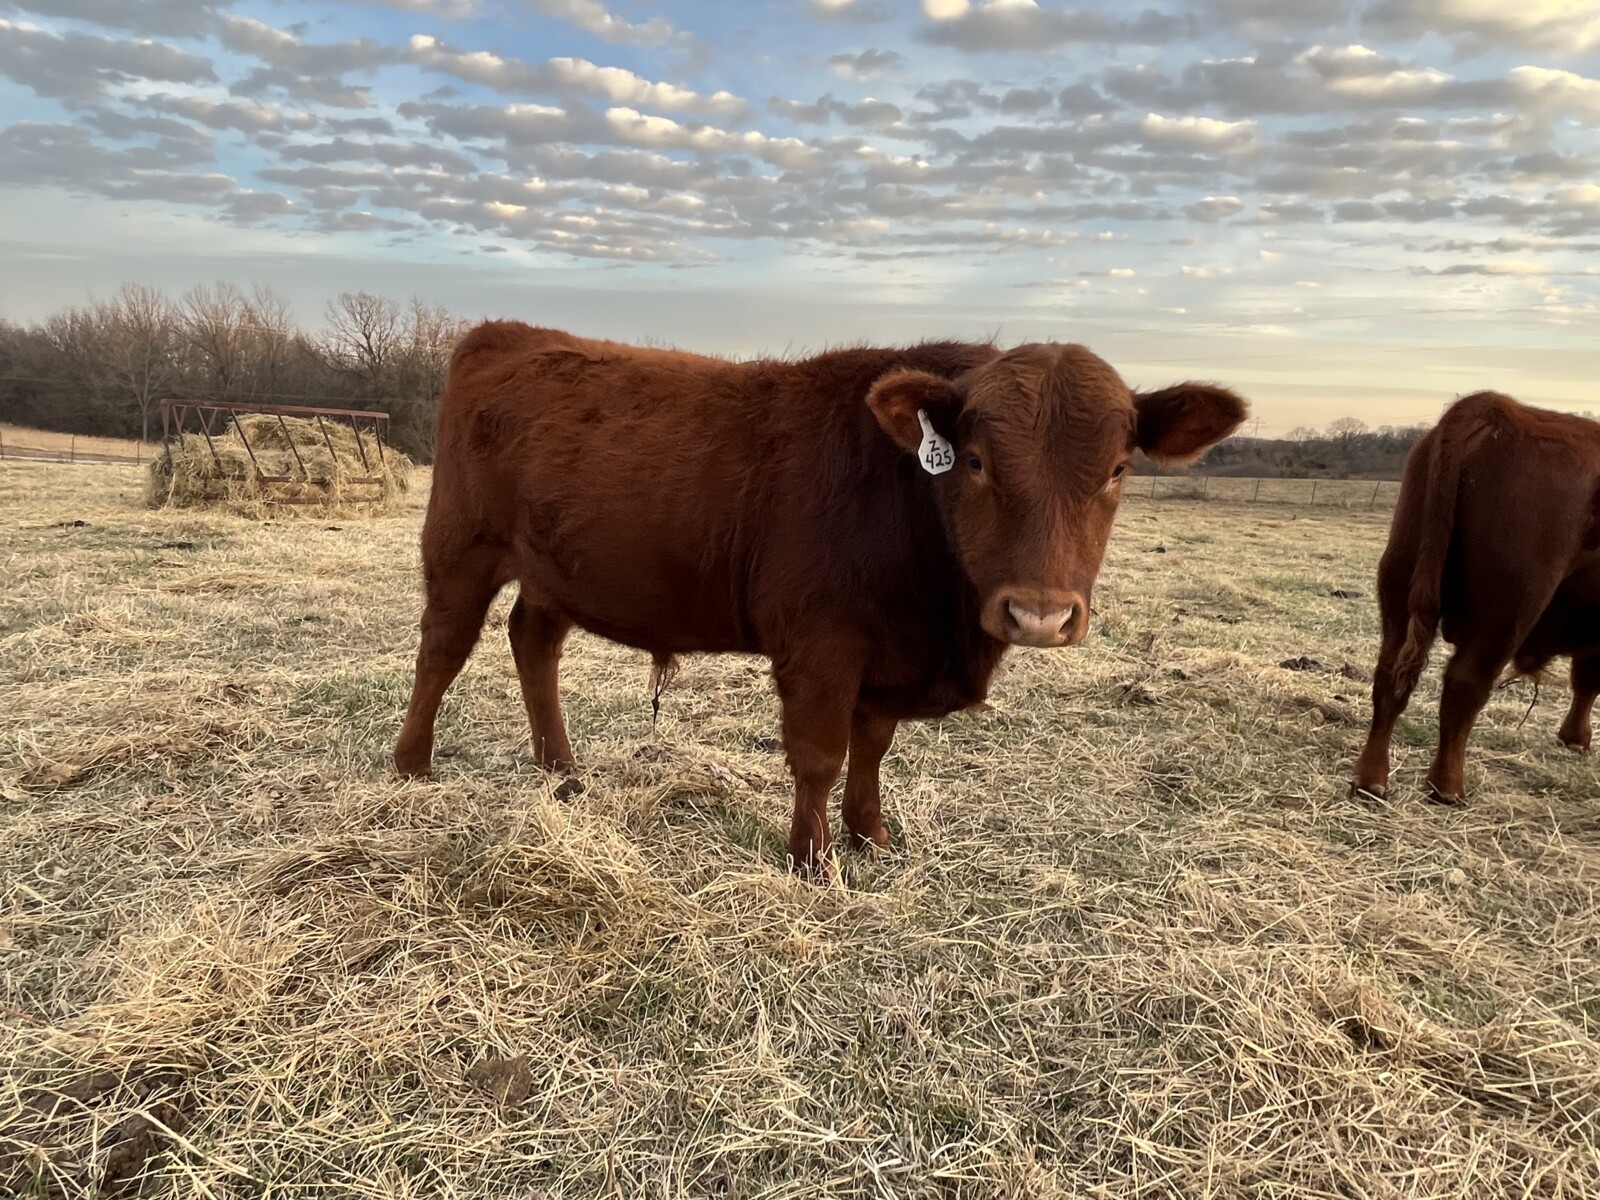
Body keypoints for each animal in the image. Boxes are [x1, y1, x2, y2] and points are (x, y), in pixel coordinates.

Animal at [395, 321, 1247, 872]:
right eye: (974, 461)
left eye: (1117, 470)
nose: (1039, 613)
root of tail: (506, 331)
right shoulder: (818, 644)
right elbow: (818, 754)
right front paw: (812, 858)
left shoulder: (886, 656)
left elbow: (871, 748)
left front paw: (871, 838)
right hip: (461, 548)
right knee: (441, 650)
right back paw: (412, 765)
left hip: (552, 569)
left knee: (533, 642)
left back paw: (562, 771)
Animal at [1354, 391, 1600, 805]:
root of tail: (1495, 409)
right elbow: (1589, 681)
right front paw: (1578, 739)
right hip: (1508, 610)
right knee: (1465, 684)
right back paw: (1447, 786)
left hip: (1401, 582)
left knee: (1390, 675)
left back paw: (1371, 779)